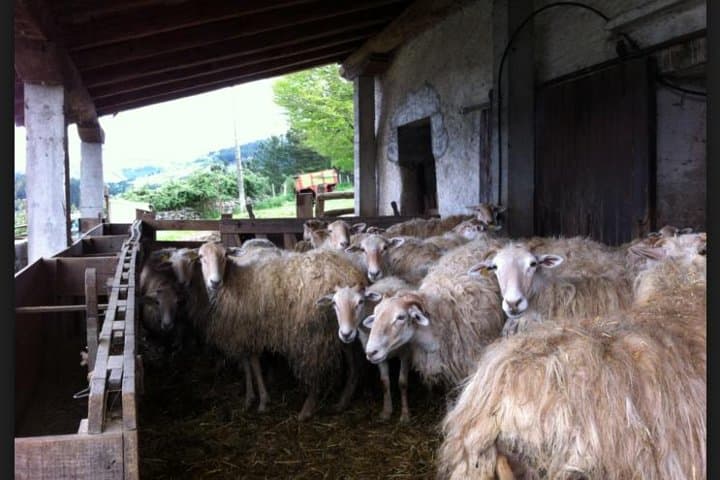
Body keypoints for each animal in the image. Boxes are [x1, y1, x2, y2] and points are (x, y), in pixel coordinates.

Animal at [198, 241, 368, 420]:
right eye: (201, 257)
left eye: (224, 255)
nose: (214, 282)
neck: (234, 279)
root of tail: (352, 271)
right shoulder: (244, 332)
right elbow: (247, 364)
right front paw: (249, 398)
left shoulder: (248, 330)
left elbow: (254, 364)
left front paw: (262, 401)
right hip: (343, 330)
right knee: (354, 366)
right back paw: (343, 401)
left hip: (315, 333)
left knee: (316, 371)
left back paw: (307, 409)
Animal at [316, 276, 415, 421]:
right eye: (334, 303)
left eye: (360, 302)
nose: (346, 334)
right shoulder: (376, 355)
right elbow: (384, 382)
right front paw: (386, 411)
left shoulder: (406, 353)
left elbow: (402, 382)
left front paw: (405, 415)